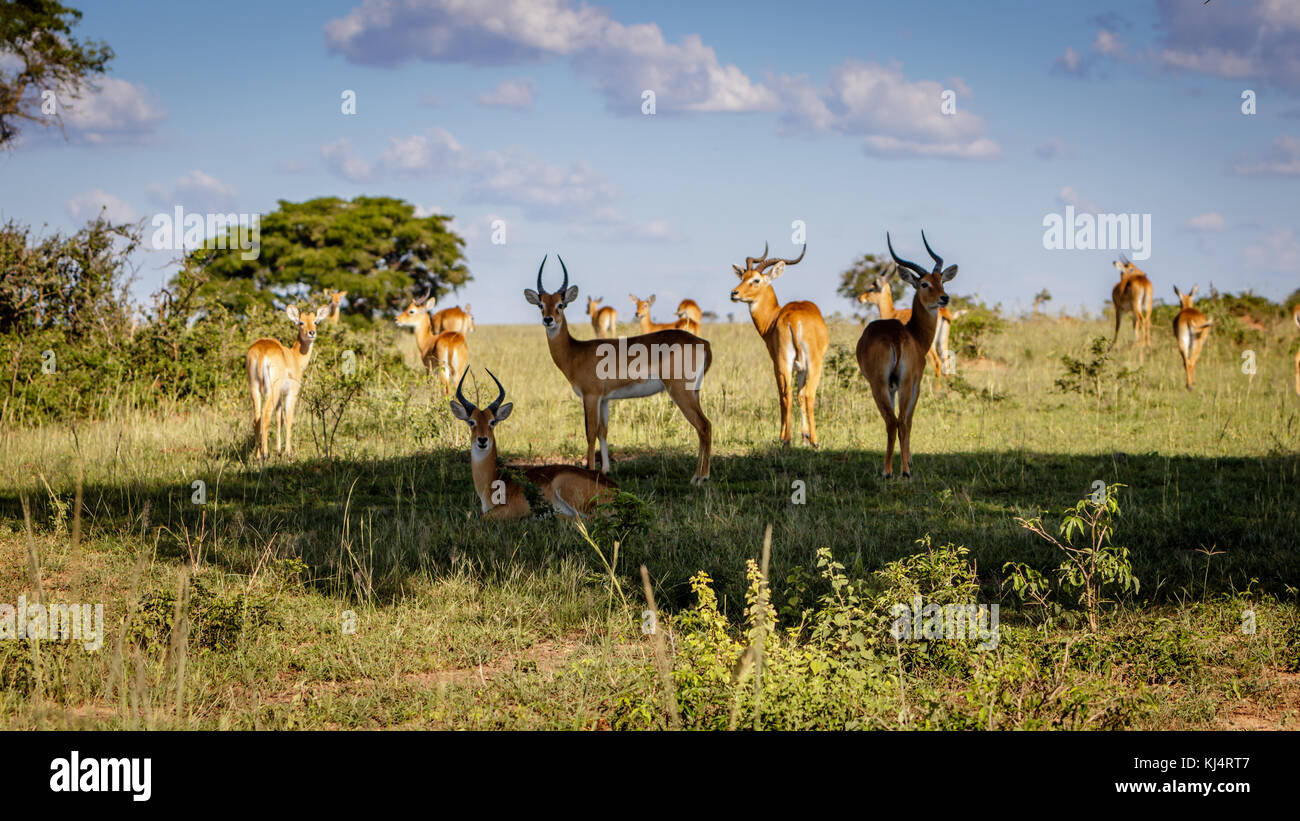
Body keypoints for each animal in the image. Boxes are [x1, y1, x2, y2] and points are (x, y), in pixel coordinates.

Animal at [244, 302, 330, 459]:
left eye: (315, 322)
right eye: (301, 322)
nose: (311, 333)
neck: (295, 357)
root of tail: (262, 350)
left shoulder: (279, 397)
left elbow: (279, 419)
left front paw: (279, 451)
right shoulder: (292, 392)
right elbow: (289, 418)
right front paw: (288, 452)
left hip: (255, 388)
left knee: (256, 417)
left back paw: (258, 455)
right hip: (272, 389)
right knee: (265, 414)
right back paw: (265, 454)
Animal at [449, 366, 616, 519]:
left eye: (492, 422)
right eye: (471, 422)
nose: (483, 440)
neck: (495, 478)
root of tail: (614, 488)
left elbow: (479, 517)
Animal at [522, 257, 717, 483]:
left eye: (561, 304)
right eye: (541, 305)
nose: (548, 320)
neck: (575, 352)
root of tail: (703, 342)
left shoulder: (591, 396)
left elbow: (590, 432)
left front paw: (590, 470)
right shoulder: (605, 399)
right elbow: (603, 431)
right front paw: (606, 469)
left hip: (680, 392)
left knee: (704, 425)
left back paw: (701, 478)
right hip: (694, 392)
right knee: (704, 427)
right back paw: (698, 476)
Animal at [728, 241, 826, 446]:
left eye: (756, 280)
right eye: (743, 276)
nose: (734, 293)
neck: (774, 316)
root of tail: (794, 320)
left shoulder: (785, 365)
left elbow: (792, 395)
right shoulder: (795, 367)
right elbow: (797, 395)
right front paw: (804, 437)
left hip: (790, 363)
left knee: (791, 394)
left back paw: (791, 439)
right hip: (805, 364)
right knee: (801, 394)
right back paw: (803, 440)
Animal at [857, 231, 961, 478]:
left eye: (941, 280)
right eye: (924, 283)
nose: (944, 298)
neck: (913, 333)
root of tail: (895, 336)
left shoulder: (896, 386)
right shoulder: (915, 383)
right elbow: (910, 420)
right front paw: (909, 461)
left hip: (883, 385)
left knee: (893, 421)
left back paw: (890, 470)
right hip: (898, 384)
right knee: (900, 421)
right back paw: (900, 471)